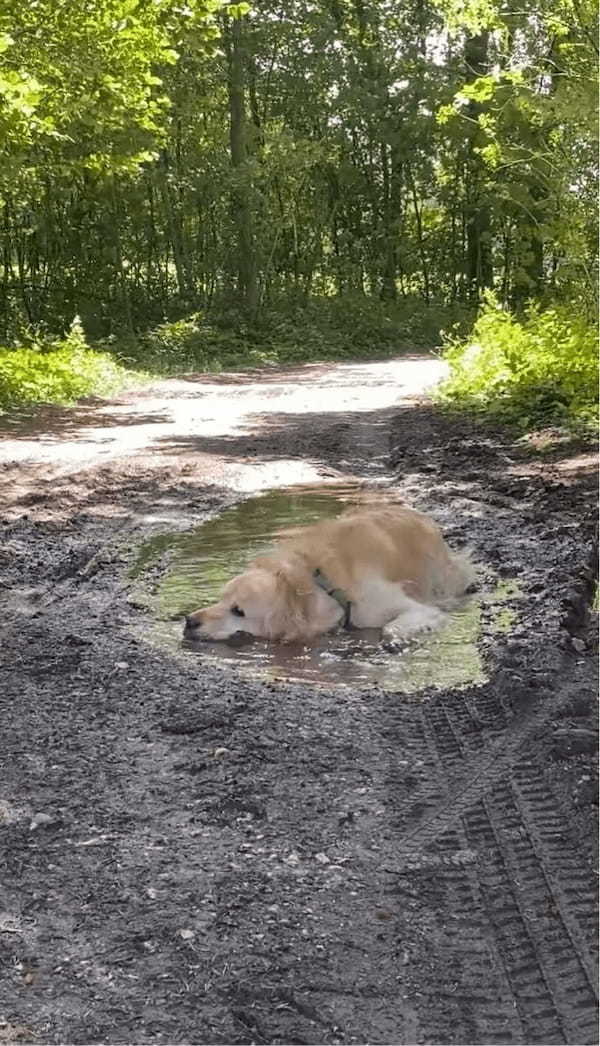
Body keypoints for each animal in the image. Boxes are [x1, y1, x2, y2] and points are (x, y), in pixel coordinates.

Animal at [183, 502, 474, 640]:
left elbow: (392, 626)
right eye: (221, 599)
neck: (323, 586)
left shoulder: (413, 608)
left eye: (238, 611)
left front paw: (397, 639)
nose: (189, 621)